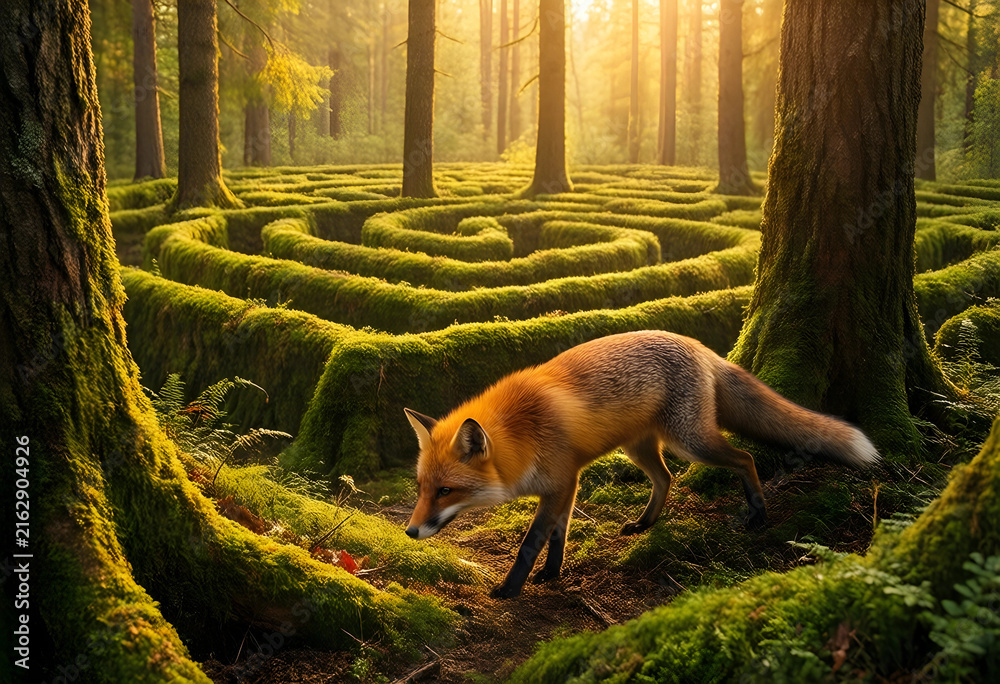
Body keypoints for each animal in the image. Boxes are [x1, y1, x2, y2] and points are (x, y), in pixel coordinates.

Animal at [403, 330, 880, 599]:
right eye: (422, 488)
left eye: (446, 491)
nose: (409, 532)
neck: (524, 434)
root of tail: (698, 345)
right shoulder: (567, 482)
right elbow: (559, 535)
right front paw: (552, 575)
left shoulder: (561, 481)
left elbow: (532, 542)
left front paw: (511, 588)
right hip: (641, 448)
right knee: (666, 478)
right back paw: (646, 523)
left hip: (691, 443)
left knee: (743, 458)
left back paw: (758, 514)